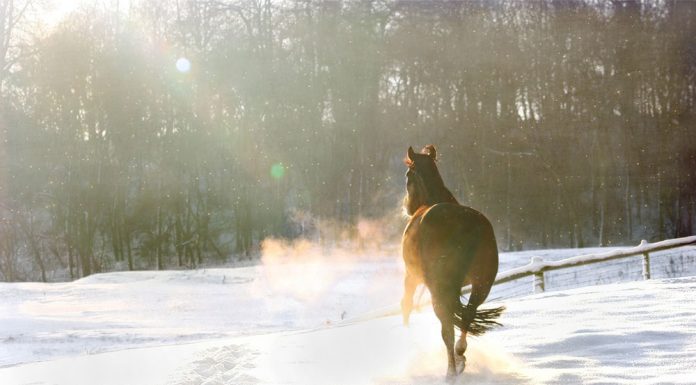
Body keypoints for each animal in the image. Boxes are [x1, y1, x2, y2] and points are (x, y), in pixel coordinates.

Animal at [400, 144, 502, 378]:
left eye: (408, 175)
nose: (406, 207)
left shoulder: (411, 277)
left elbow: (406, 305)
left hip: (438, 288)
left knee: (447, 328)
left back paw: (450, 372)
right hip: (481, 284)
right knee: (468, 315)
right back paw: (460, 355)